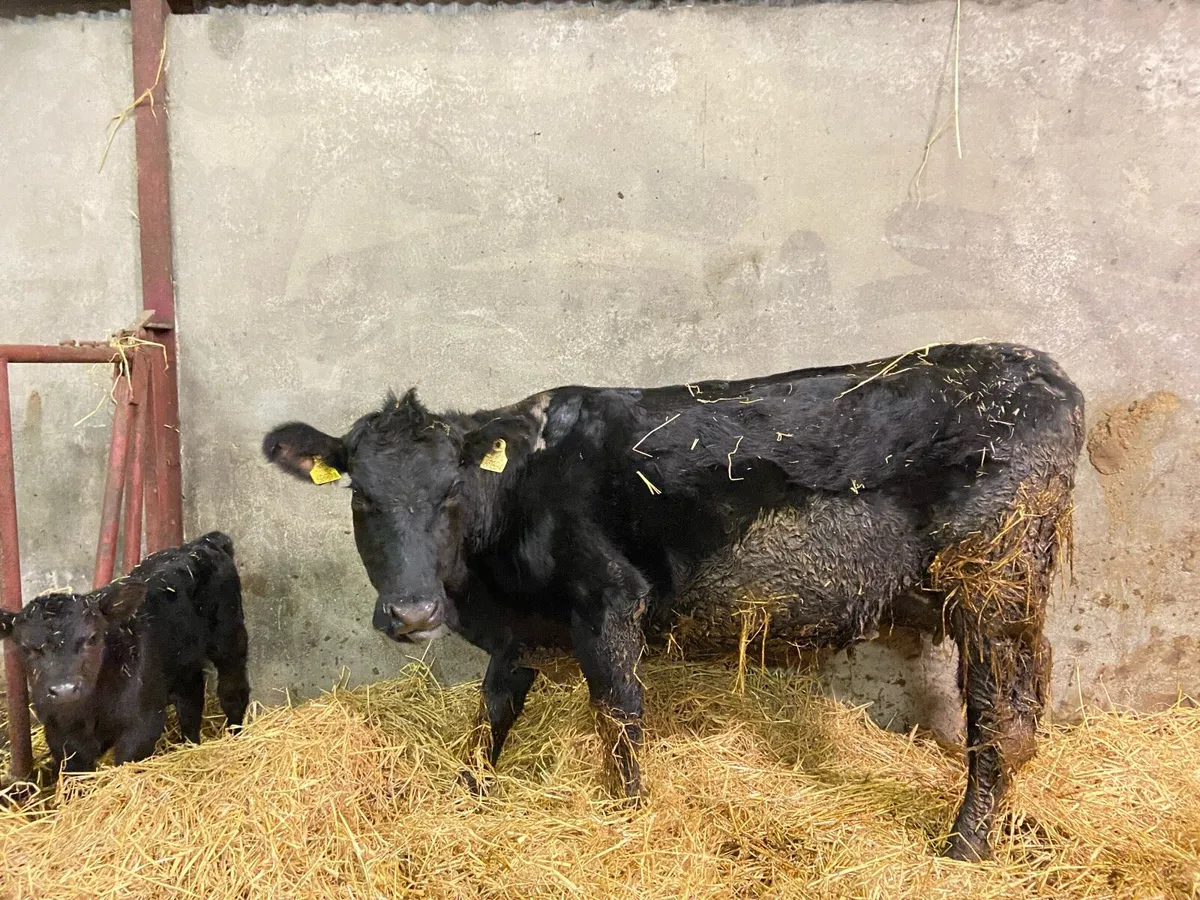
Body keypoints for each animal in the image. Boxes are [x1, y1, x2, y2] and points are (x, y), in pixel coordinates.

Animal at [0, 532, 250, 773]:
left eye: (93, 637)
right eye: (25, 647)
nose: (65, 690)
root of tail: (201, 543)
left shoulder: (143, 722)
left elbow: (126, 761)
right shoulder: (58, 732)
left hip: (229, 636)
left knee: (233, 689)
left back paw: (235, 735)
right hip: (184, 663)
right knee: (191, 697)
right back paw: (190, 743)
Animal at [263, 342, 1084, 861]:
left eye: (451, 494)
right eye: (362, 500)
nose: (412, 614)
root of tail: (1044, 371)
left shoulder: (608, 600)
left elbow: (620, 716)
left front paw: (628, 818)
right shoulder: (524, 629)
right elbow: (493, 710)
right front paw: (467, 791)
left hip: (995, 582)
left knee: (1002, 717)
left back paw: (965, 846)